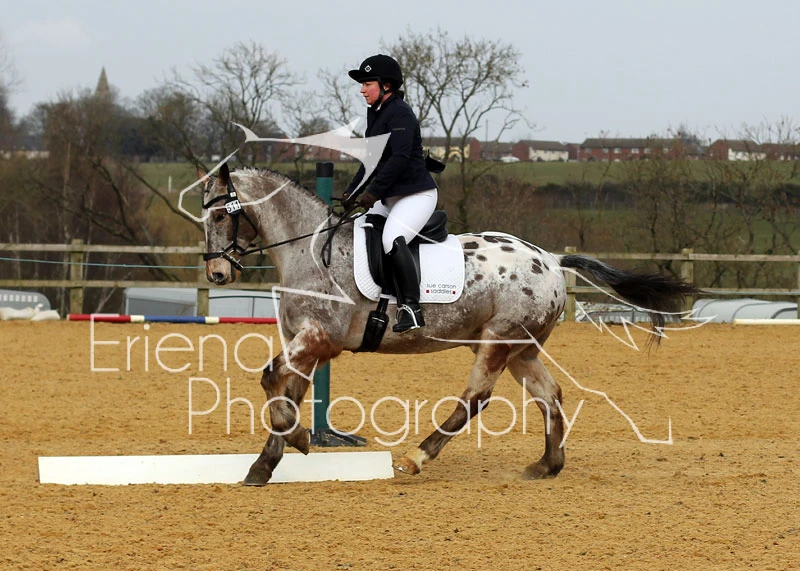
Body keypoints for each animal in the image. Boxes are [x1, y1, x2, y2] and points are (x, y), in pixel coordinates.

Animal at [200, 164, 698, 486]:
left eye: (222, 215)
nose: (217, 274)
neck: (310, 251)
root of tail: (552, 260)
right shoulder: (305, 341)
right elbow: (286, 393)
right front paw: (265, 464)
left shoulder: (319, 339)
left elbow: (271, 380)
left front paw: (299, 440)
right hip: (522, 349)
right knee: (550, 395)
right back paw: (546, 466)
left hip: (498, 341)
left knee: (476, 398)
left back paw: (415, 458)